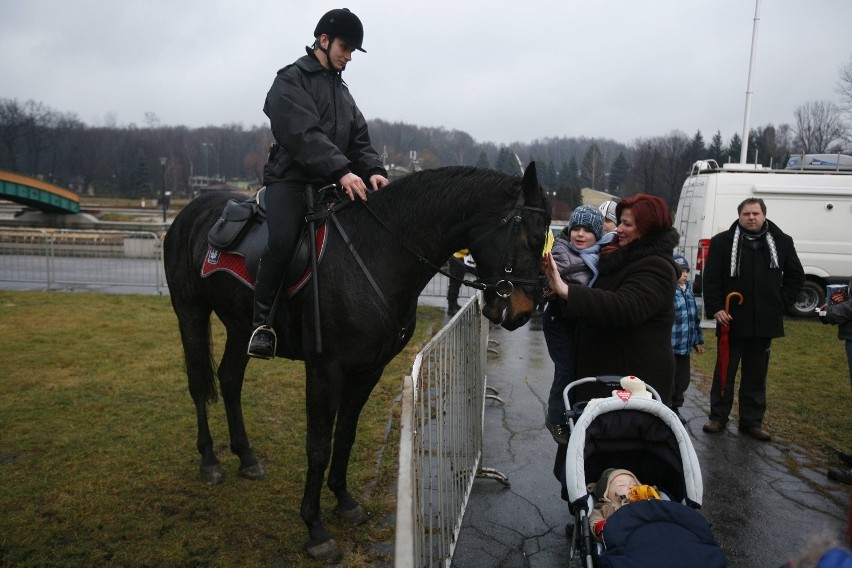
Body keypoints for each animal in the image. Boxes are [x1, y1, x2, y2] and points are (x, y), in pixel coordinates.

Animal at [165, 162, 552, 560]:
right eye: (532, 238)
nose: (525, 310)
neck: (375, 252)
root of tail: (192, 212)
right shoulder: (324, 371)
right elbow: (318, 445)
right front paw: (315, 529)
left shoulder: (369, 370)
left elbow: (346, 434)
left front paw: (344, 500)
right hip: (190, 311)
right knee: (198, 384)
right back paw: (209, 461)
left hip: (240, 326)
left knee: (229, 380)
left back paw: (246, 457)